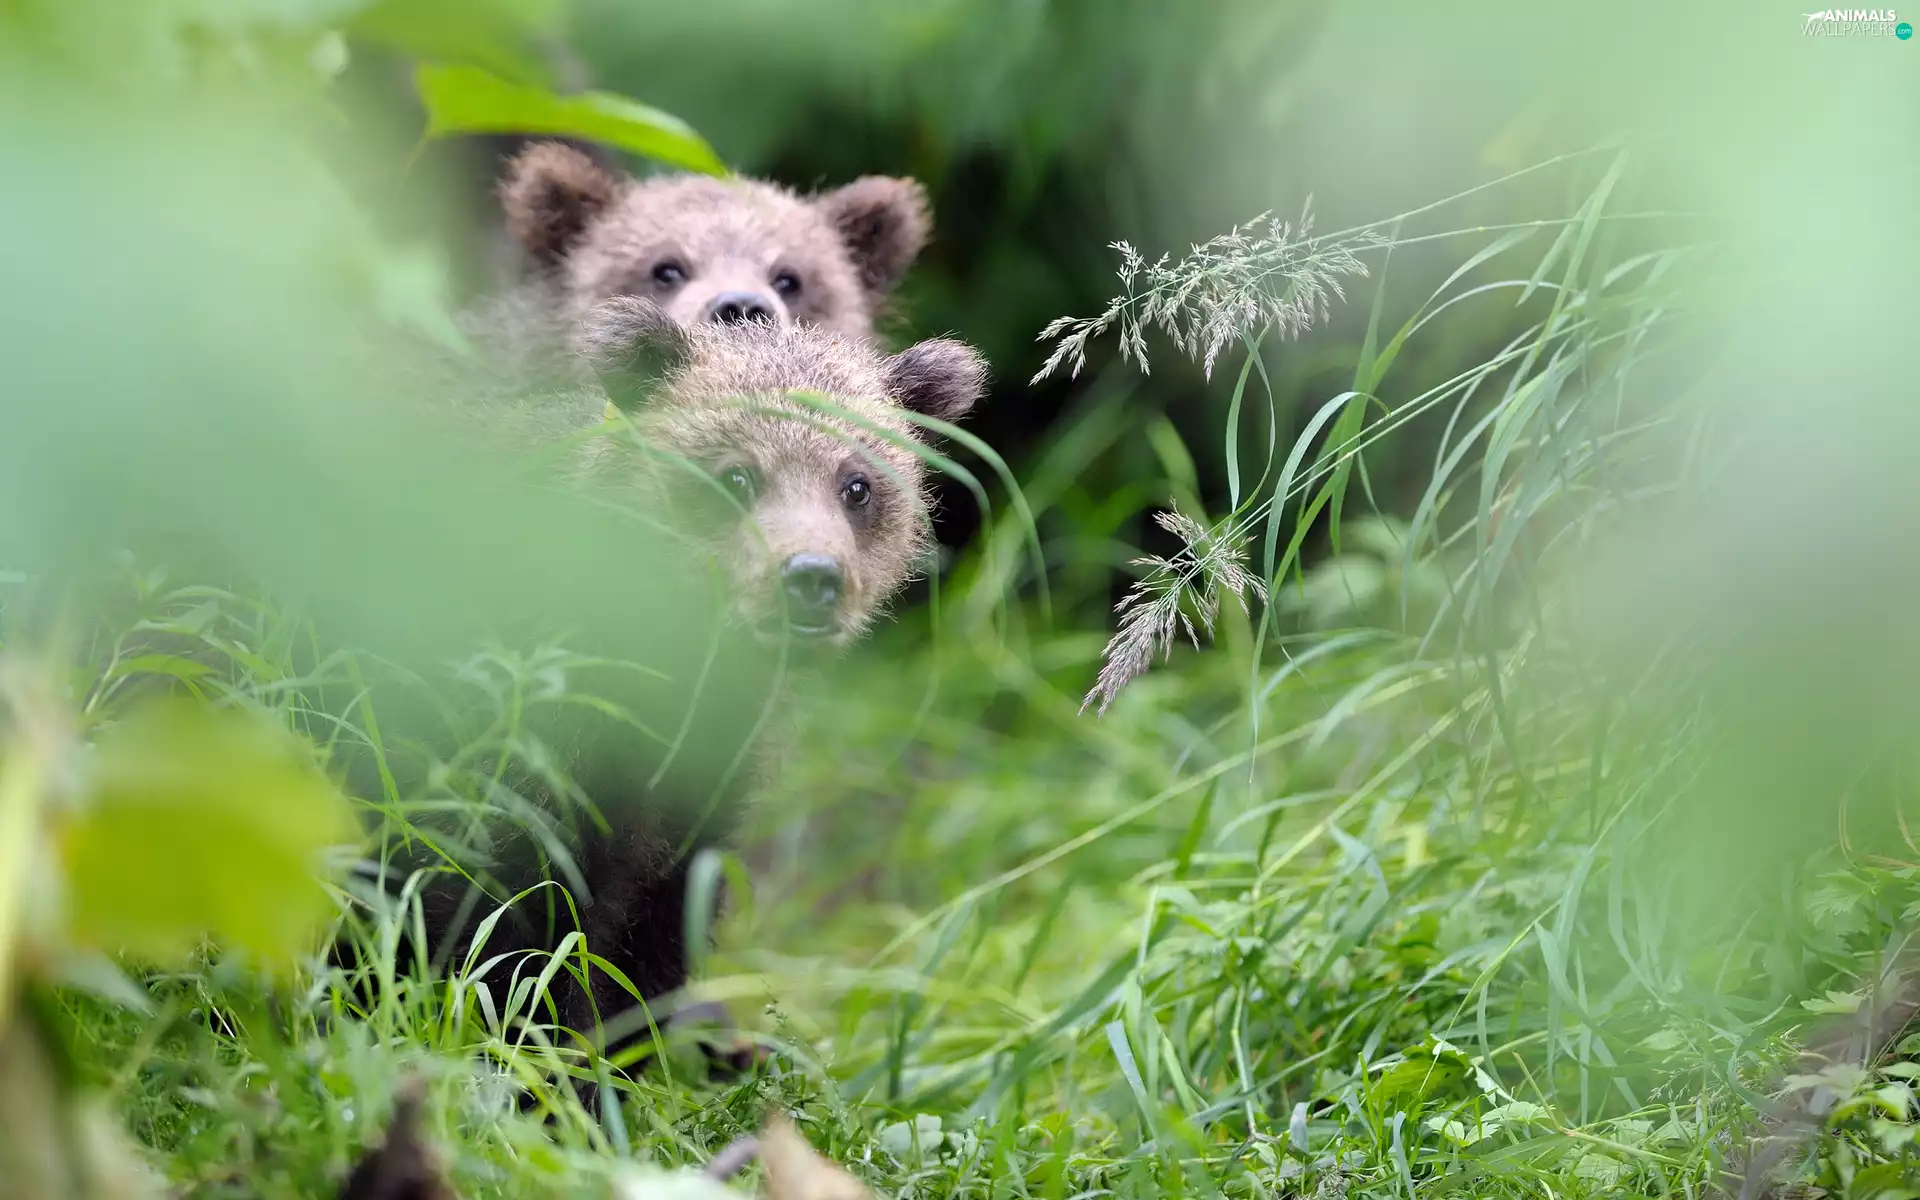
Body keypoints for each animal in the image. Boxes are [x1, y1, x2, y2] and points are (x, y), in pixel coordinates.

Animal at [343, 295, 987, 1087]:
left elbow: (653, 932)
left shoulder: (700, 778)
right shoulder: (494, 743)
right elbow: (497, 931)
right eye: (737, 476)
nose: (811, 577)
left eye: (856, 483)